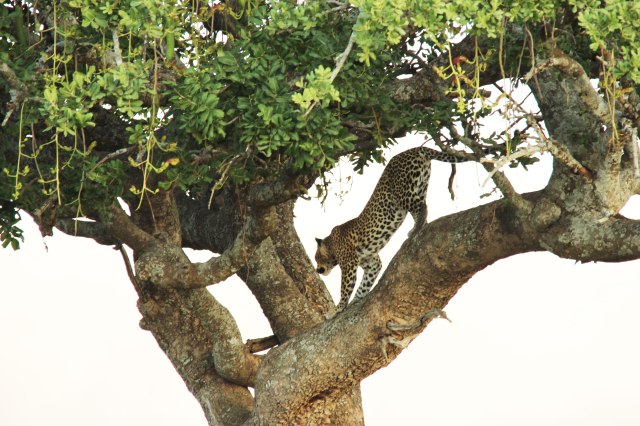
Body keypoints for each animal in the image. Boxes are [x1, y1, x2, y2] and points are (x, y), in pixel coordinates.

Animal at [314, 146, 478, 312]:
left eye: (317, 258)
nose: (317, 270)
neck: (331, 244)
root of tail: (415, 149)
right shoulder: (371, 261)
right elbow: (366, 282)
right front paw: (356, 299)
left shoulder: (349, 263)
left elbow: (345, 287)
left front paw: (339, 307)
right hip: (421, 185)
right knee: (422, 207)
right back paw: (418, 229)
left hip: (404, 193)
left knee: (423, 208)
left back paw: (415, 231)